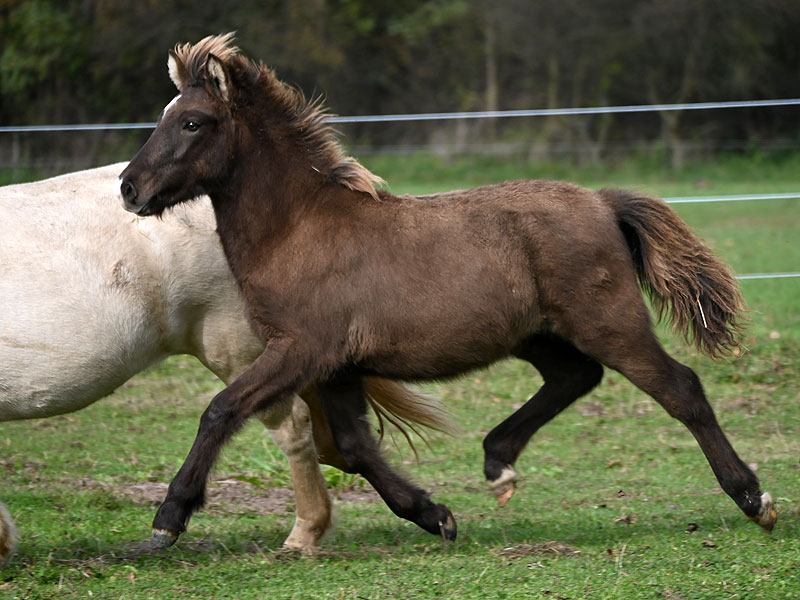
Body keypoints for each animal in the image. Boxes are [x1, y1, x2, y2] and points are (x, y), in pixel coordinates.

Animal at [119, 33, 776, 549]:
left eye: (192, 122)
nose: (130, 188)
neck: (300, 229)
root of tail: (602, 201)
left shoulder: (301, 349)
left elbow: (222, 409)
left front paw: (169, 517)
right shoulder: (336, 366)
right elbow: (355, 446)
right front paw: (435, 516)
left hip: (609, 322)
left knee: (679, 389)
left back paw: (754, 499)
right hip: (537, 334)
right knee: (575, 377)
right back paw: (498, 461)